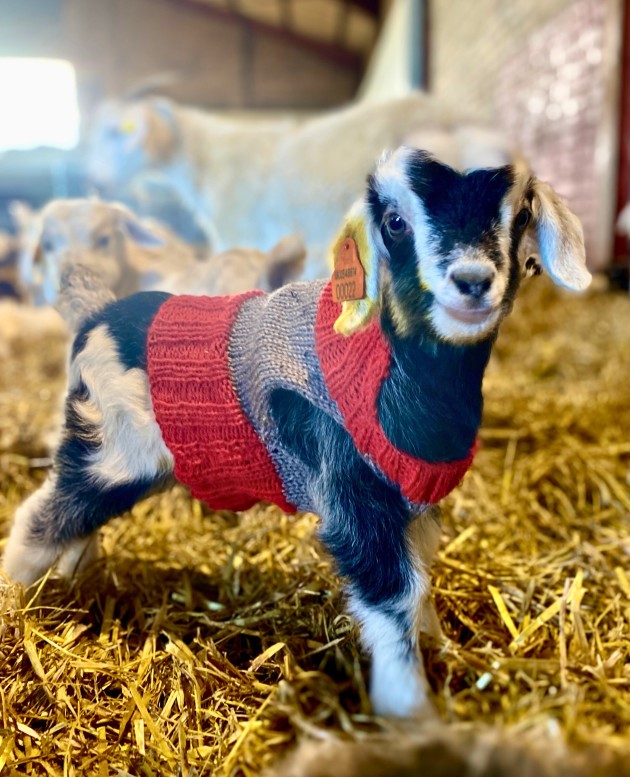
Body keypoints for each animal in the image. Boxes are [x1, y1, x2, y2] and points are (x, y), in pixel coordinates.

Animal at [1, 148, 589, 717]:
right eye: (395, 222)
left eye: (519, 217)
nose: (471, 280)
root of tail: (95, 315)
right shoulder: (353, 496)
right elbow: (395, 593)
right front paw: (410, 711)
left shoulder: (413, 504)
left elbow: (421, 579)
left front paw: (440, 647)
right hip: (113, 451)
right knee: (40, 516)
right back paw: (18, 594)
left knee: (73, 519)